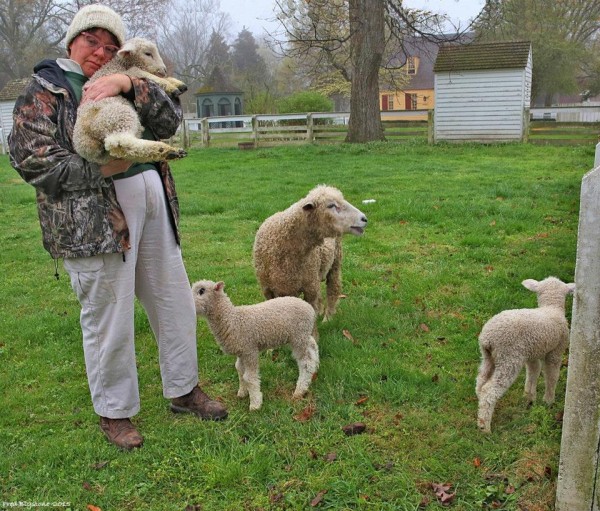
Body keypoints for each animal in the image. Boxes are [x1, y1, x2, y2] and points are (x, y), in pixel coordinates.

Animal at [74, 38, 188, 166]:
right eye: (147, 53)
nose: (164, 70)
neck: (120, 64)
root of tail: (85, 142)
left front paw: (177, 83)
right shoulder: (130, 72)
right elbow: (143, 73)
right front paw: (171, 87)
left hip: (105, 153)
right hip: (117, 116)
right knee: (120, 143)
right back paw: (165, 150)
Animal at [195, 280, 322, 412]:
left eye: (201, 291)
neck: (232, 319)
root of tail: (309, 308)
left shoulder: (250, 350)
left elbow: (249, 377)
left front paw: (255, 403)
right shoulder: (242, 351)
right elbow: (239, 370)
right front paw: (242, 392)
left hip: (298, 336)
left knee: (306, 363)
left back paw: (300, 390)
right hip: (303, 334)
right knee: (312, 346)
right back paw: (316, 365)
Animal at [252, 184, 366, 322]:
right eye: (331, 205)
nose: (364, 218)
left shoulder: (309, 288)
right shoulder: (269, 290)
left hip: (335, 262)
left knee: (333, 289)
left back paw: (328, 318)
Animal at [476, 278, 576, 434]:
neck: (551, 308)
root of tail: (487, 338)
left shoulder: (532, 354)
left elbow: (533, 372)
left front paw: (529, 397)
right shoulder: (555, 351)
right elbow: (552, 376)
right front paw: (548, 400)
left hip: (488, 357)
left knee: (480, 382)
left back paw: (481, 413)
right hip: (509, 358)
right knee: (489, 390)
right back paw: (484, 427)